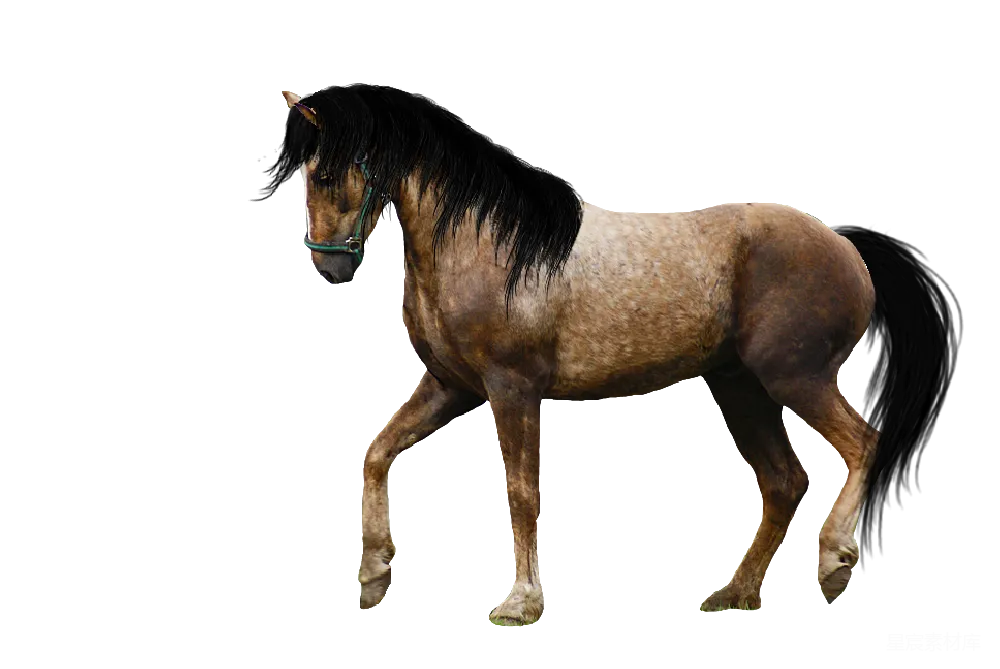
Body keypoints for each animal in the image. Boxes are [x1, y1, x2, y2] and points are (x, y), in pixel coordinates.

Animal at [280, 85, 946, 623]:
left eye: (329, 175)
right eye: (305, 176)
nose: (329, 270)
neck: (488, 241)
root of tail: (847, 247)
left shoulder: (512, 389)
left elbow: (523, 493)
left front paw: (520, 603)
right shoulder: (451, 388)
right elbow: (376, 452)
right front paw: (374, 571)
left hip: (795, 379)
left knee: (860, 444)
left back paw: (833, 560)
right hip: (741, 389)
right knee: (784, 482)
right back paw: (733, 595)